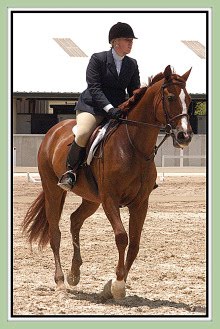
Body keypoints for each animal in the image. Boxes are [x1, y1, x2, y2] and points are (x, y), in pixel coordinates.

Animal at [22, 64, 192, 300]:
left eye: (190, 100)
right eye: (170, 97)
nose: (185, 136)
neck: (134, 147)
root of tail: (54, 131)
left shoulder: (140, 203)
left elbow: (135, 244)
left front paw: (113, 285)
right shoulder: (110, 199)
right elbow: (122, 237)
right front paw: (118, 285)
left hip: (91, 199)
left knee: (75, 220)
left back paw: (74, 274)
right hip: (52, 190)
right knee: (55, 233)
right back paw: (61, 282)